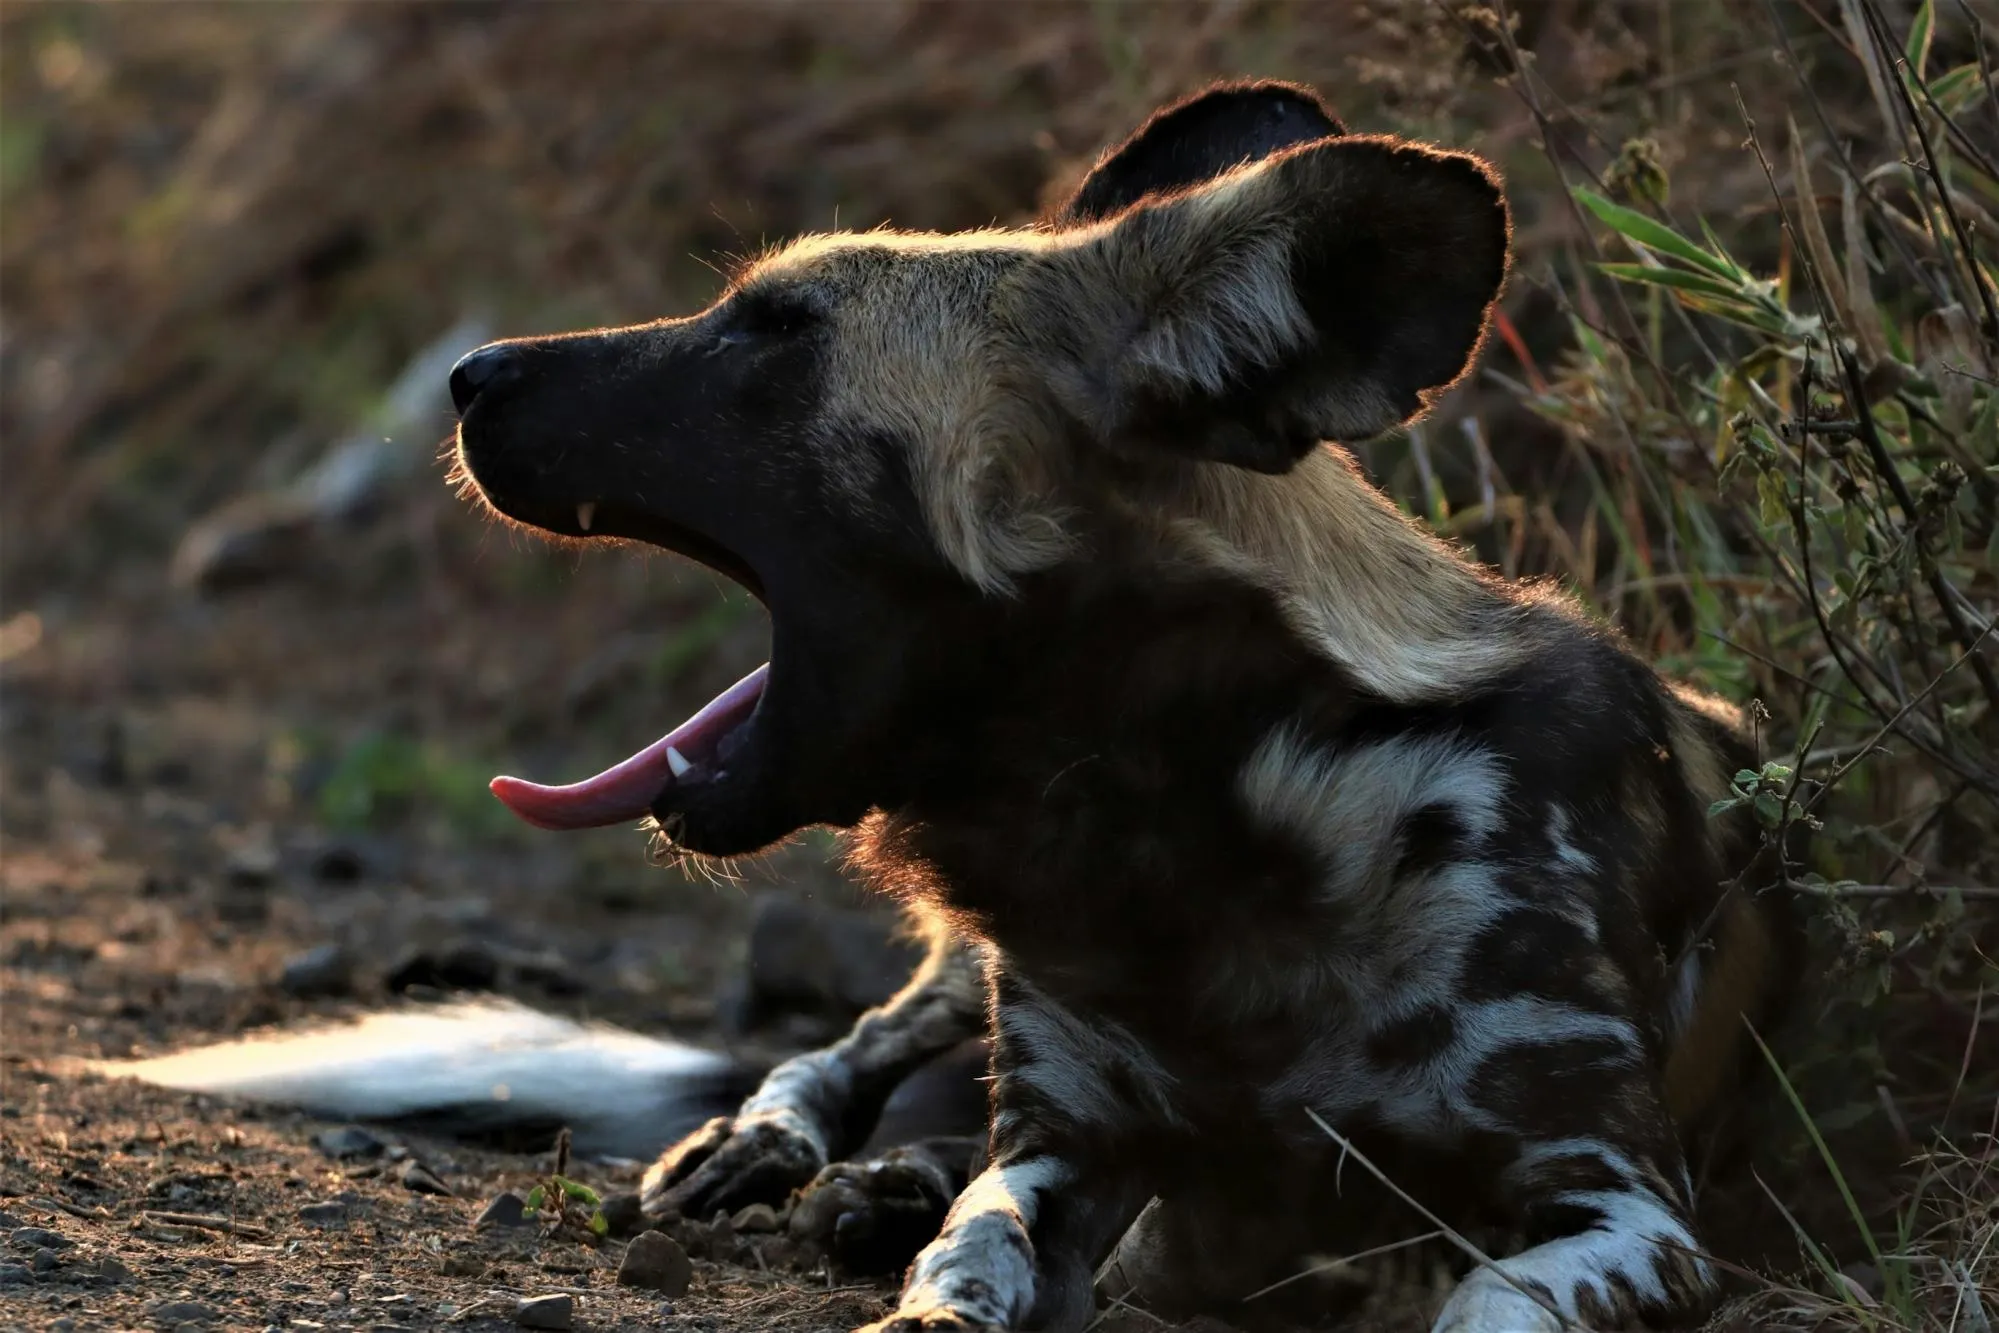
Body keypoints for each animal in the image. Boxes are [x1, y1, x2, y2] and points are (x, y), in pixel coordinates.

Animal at [116, 83, 1791, 1333]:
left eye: (771, 332)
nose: (463, 373)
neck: (1200, 823)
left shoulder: (1624, 1208)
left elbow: (1482, 1295)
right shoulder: (1059, 1156)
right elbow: (965, 1260)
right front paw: (904, 1241)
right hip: (951, 980)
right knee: (836, 1058)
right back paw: (793, 1159)